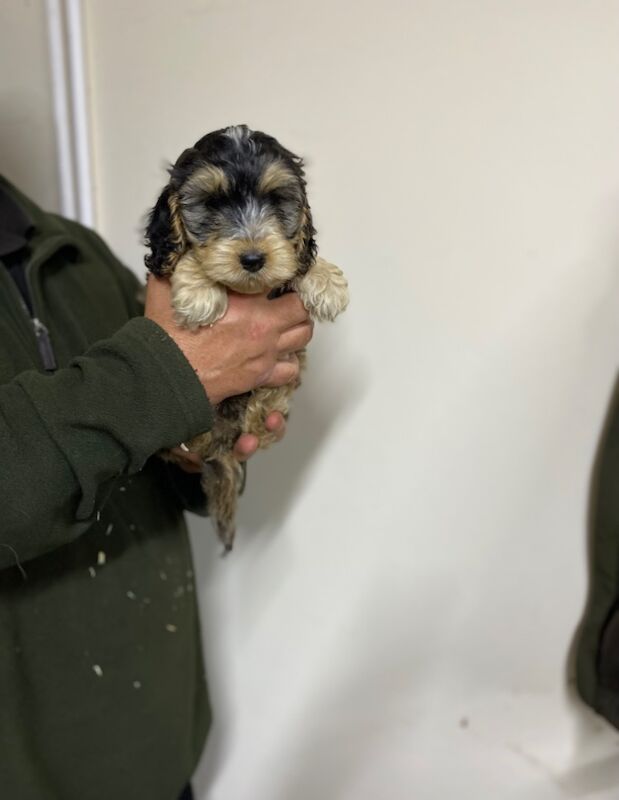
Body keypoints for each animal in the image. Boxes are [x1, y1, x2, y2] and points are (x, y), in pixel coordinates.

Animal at [144, 125, 348, 552]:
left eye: (276, 200)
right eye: (210, 203)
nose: (253, 259)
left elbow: (296, 257)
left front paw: (326, 281)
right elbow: (185, 257)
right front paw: (200, 291)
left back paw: (259, 412)